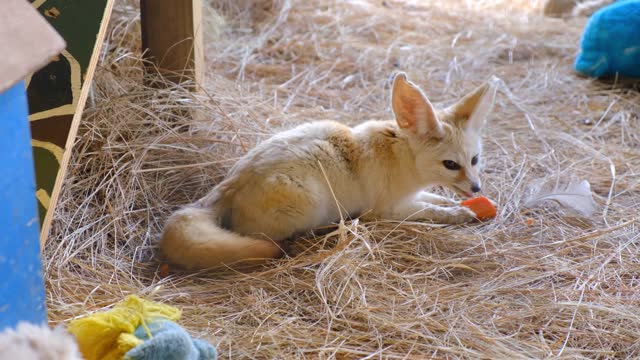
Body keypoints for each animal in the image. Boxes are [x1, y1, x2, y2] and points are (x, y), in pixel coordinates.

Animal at [161, 73, 500, 268]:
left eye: (475, 160)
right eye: (451, 165)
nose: (477, 188)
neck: (400, 156)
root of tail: (227, 185)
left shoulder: (409, 196)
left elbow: (435, 199)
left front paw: (460, 204)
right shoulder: (385, 210)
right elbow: (431, 212)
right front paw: (458, 213)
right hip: (309, 203)